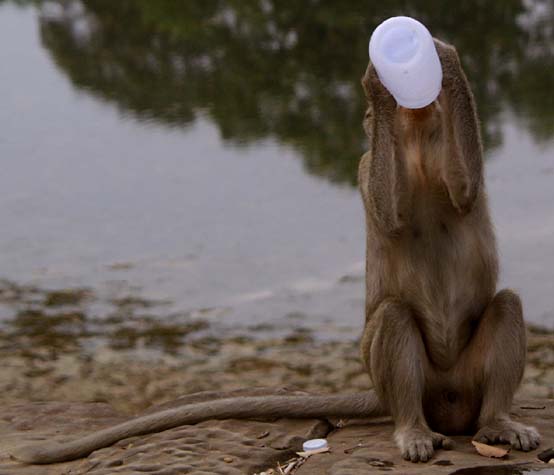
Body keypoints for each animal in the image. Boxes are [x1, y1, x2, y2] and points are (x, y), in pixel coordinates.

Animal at [9, 40, 540, 464]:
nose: (413, 106)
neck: (420, 157)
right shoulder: (365, 164)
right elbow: (390, 217)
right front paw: (379, 81)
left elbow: (465, 192)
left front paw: (444, 60)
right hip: (402, 380)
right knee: (393, 317)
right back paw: (413, 430)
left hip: (464, 385)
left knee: (506, 304)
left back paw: (497, 423)